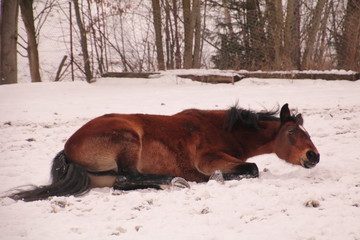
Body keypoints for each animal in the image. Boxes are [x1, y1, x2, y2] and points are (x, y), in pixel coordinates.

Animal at [7, 103, 318, 201]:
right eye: (292, 132)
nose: (313, 156)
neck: (222, 129)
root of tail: (68, 149)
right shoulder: (210, 159)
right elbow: (250, 169)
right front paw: (215, 178)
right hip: (129, 139)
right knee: (127, 177)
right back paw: (174, 181)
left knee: (122, 184)